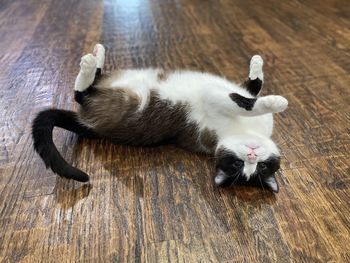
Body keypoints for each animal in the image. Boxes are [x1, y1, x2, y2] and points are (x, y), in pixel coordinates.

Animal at [32, 42, 288, 192]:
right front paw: (261, 71)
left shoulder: (217, 102)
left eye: (260, 169)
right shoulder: (230, 95)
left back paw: (90, 61)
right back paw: (96, 56)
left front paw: (274, 99)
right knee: (88, 86)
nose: (252, 155)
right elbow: (250, 92)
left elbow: (247, 98)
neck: (249, 131)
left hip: (125, 103)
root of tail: (87, 125)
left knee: (82, 94)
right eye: (237, 163)